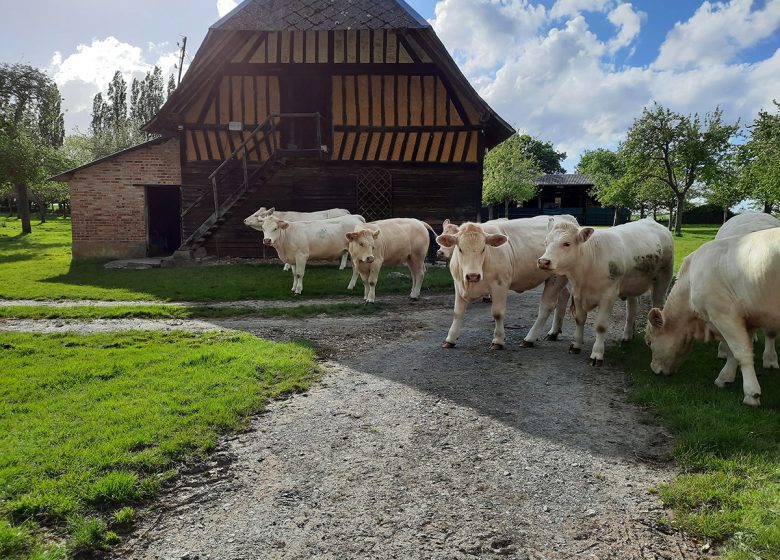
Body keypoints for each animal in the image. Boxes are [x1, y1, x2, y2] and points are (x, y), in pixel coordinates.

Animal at [436, 215, 576, 350]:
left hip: (556, 278)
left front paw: (498, 341)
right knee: (563, 297)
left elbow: (497, 313)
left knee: (546, 307)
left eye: (483, 249)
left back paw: (529, 339)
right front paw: (450, 339)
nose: (473, 275)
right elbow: (457, 313)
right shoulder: (458, 284)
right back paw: (554, 332)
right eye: (460, 249)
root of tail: (566, 218)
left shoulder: (500, 285)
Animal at [540, 217, 672, 366]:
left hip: (664, 277)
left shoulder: (608, 297)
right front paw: (576, 345)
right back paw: (627, 336)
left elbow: (601, 326)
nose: (543, 261)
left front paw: (597, 354)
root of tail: (651, 220)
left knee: (658, 304)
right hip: (631, 285)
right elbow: (579, 320)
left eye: (566, 243)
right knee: (632, 309)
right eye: (546, 242)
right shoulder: (578, 294)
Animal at [644, 228, 780, 406]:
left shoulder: (724, 315)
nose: (653, 368)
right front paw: (725, 377)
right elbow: (733, 350)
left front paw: (752, 394)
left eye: (649, 342)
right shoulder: (746, 320)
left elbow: (741, 352)